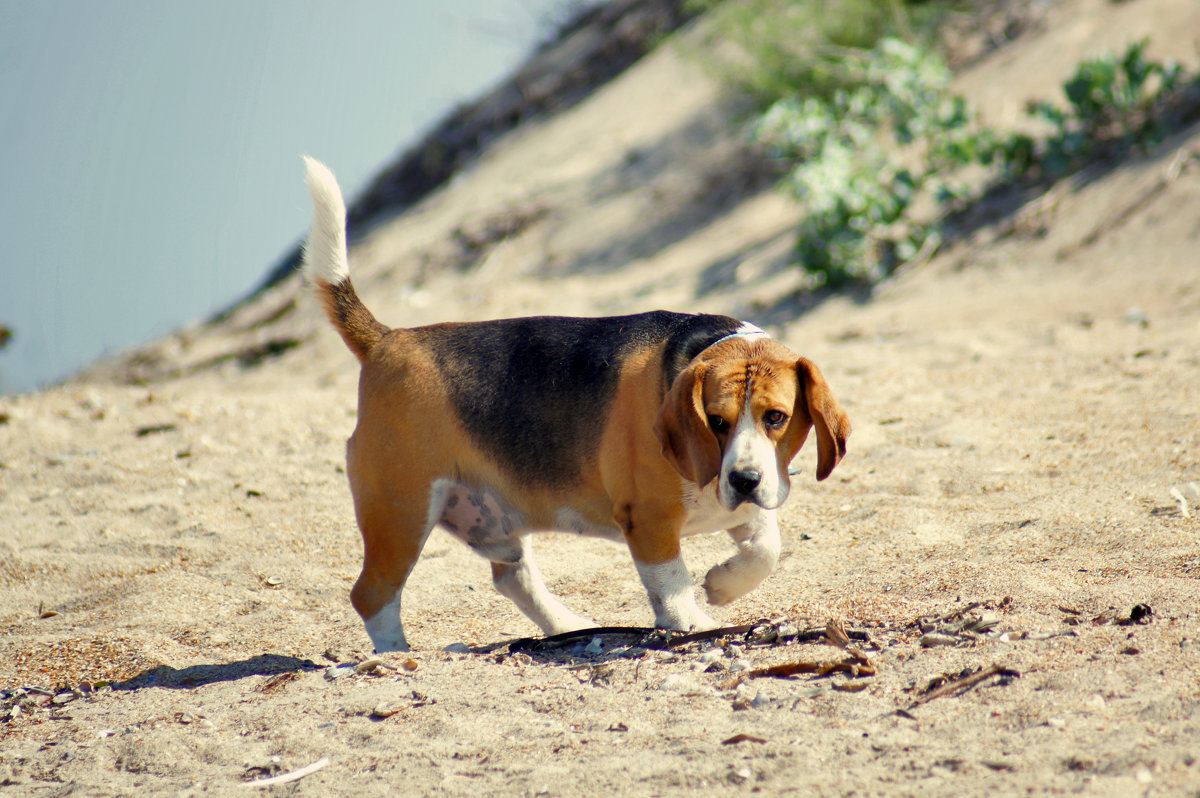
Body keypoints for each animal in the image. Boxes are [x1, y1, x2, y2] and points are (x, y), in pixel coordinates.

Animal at [298, 158, 849, 652]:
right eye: (715, 421)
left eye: (776, 418)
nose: (744, 480)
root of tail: (387, 340)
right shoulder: (648, 520)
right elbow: (671, 584)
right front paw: (691, 622)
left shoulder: (741, 501)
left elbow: (766, 546)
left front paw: (724, 582)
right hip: (401, 511)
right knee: (372, 595)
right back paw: (396, 653)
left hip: (482, 514)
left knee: (513, 578)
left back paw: (567, 626)